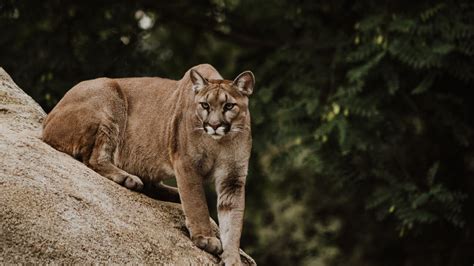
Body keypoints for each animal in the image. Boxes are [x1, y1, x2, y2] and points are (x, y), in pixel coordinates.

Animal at [41, 63, 256, 264]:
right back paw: (128, 179)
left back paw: (171, 193)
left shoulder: (232, 179)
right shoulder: (187, 164)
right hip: (109, 98)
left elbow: (233, 223)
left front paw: (233, 259)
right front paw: (206, 238)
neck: (220, 142)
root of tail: (46, 122)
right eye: (204, 105)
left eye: (229, 106)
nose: (214, 125)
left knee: (150, 184)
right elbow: (197, 204)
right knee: (94, 159)